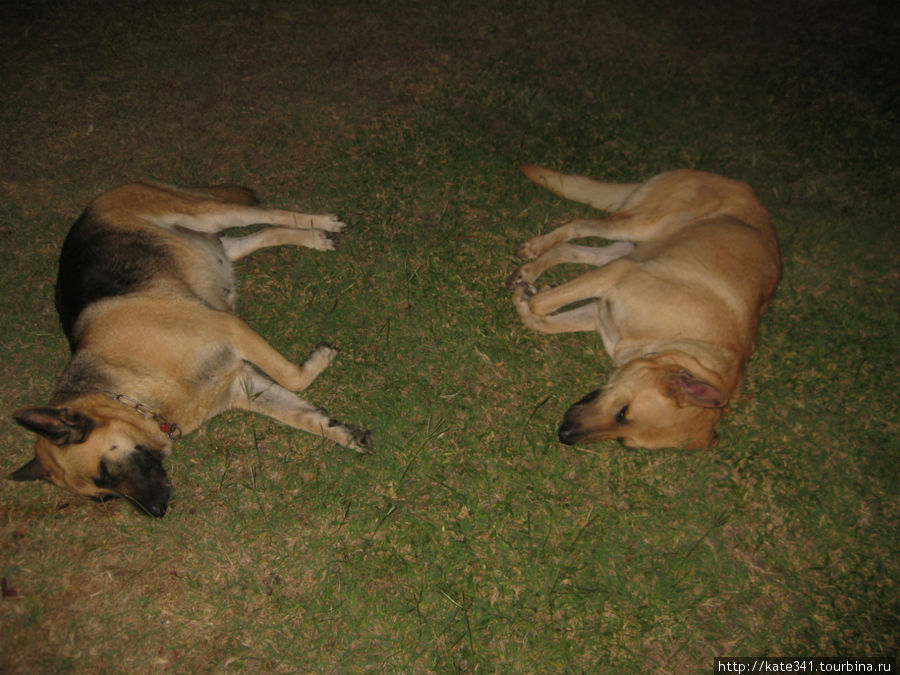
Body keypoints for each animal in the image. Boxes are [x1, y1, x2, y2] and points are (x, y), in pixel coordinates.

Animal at [11, 181, 370, 516]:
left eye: (106, 472)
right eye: (104, 496)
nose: (156, 512)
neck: (134, 396)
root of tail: (91, 206)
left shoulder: (229, 328)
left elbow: (293, 378)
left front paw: (320, 360)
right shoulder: (244, 385)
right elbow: (301, 414)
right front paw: (341, 432)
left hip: (209, 214)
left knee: (268, 214)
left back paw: (320, 221)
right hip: (208, 244)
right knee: (253, 237)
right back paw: (314, 238)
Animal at [506, 165, 780, 448]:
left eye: (623, 442)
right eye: (623, 412)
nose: (565, 434)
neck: (682, 343)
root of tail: (738, 185)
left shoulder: (600, 312)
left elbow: (540, 319)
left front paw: (525, 298)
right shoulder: (619, 273)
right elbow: (540, 305)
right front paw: (530, 296)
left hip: (632, 247)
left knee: (570, 249)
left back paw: (530, 269)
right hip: (640, 226)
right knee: (578, 225)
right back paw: (535, 248)